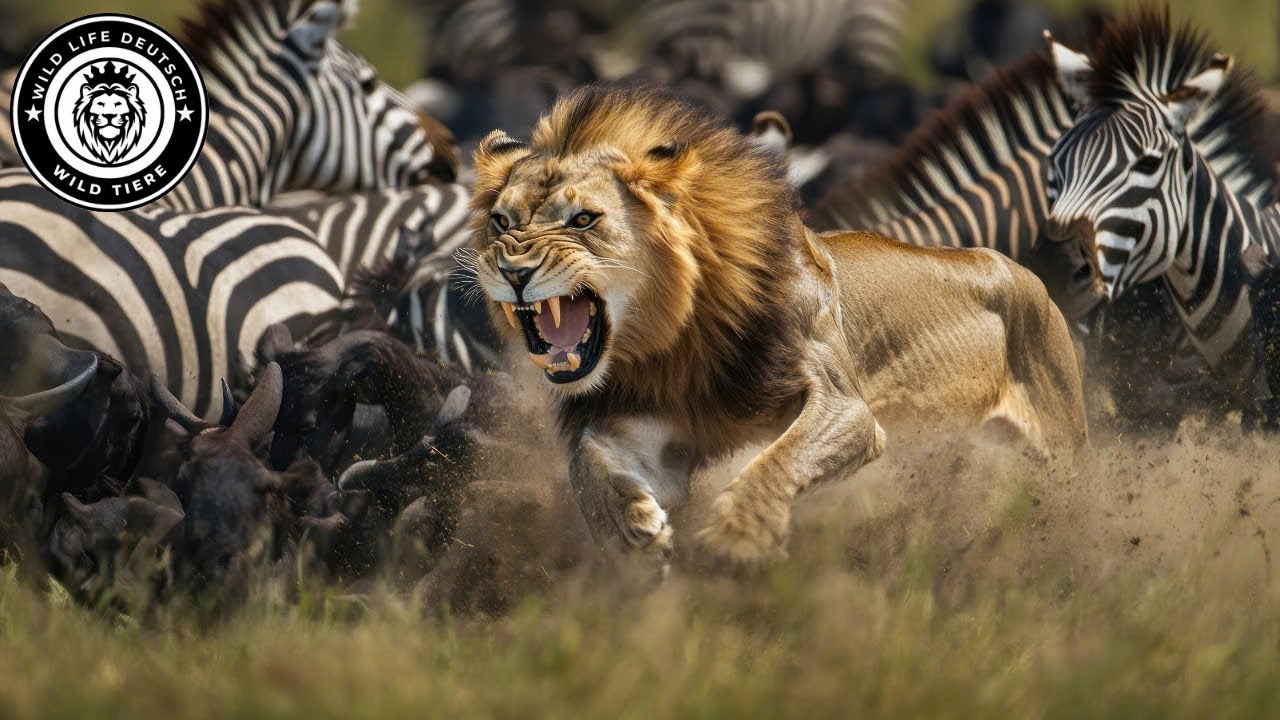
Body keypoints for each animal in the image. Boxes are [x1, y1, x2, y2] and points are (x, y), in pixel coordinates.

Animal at [469, 84, 1088, 569]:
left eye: (583, 219)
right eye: (501, 220)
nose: (513, 270)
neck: (680, 341)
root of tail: (1021, 271)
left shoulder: (847, 407)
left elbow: (780, 459)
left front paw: (738, 536)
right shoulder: (651, 433)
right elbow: (588, 460)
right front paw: (631, 527)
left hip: (1062, 440)